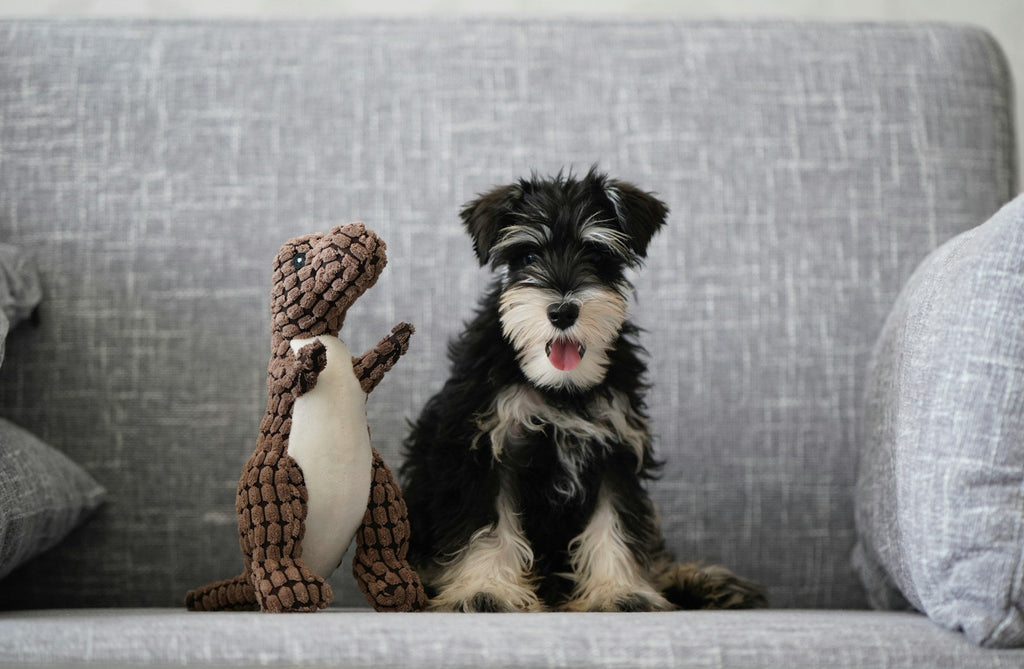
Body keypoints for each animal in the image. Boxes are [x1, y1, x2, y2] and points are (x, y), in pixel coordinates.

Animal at [399, 166, 770, 610]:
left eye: (596, 254)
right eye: (528, 256)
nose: (562, 311)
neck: (559, 387)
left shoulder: (615, 451)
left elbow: (615, 525)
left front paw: (620, 592)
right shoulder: (483, 450)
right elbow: (487, 528)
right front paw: (486, 590)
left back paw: (710, 583)